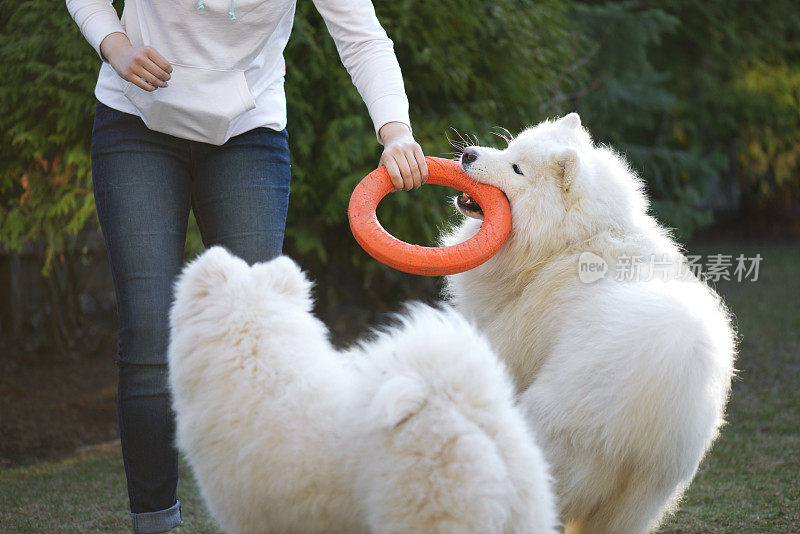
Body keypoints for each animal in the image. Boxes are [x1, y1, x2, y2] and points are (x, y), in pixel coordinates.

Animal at [444, 114, 736, 534]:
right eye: (509, 146)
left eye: (517, 169)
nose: (468, 154)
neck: (575, 241)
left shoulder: (512, 339)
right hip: (637, 502)